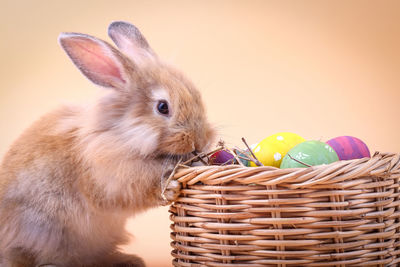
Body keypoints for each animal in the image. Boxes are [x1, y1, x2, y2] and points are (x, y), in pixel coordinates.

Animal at [0, 21, 216, 267]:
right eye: (162, 107)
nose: (200, 140)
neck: (121, 136)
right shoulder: (116, 181)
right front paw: (170, 188)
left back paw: (130, 260)